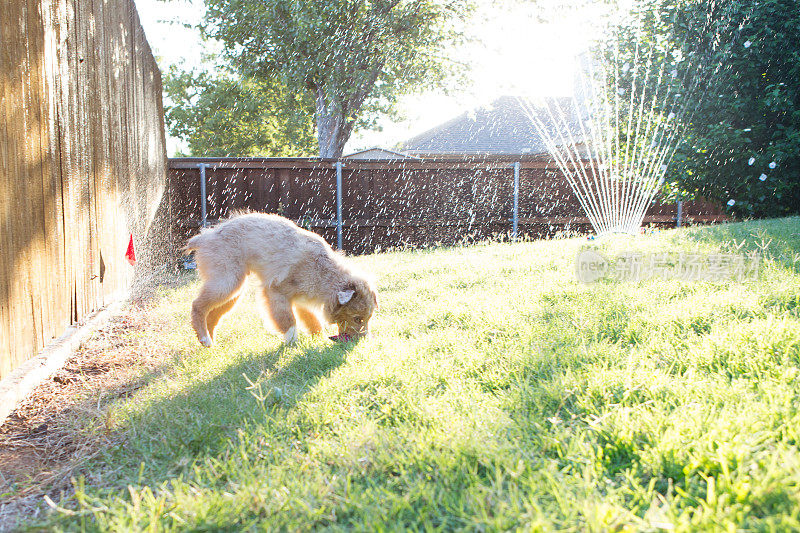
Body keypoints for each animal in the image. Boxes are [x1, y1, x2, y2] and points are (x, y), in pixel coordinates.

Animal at [184, 212, 378, 344]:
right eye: (358, 319)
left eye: (368, 318)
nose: (364, 341)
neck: (323, 273)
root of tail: (204, 237)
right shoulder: (275, 292)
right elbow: (288, 320)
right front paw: (292, 344)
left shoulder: (301, 300)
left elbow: (312, 321)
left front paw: (317, 340)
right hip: (227, 282)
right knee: (197, 306)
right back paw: (204, 338)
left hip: (233, 290)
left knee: (212, 314)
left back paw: (210, 342)